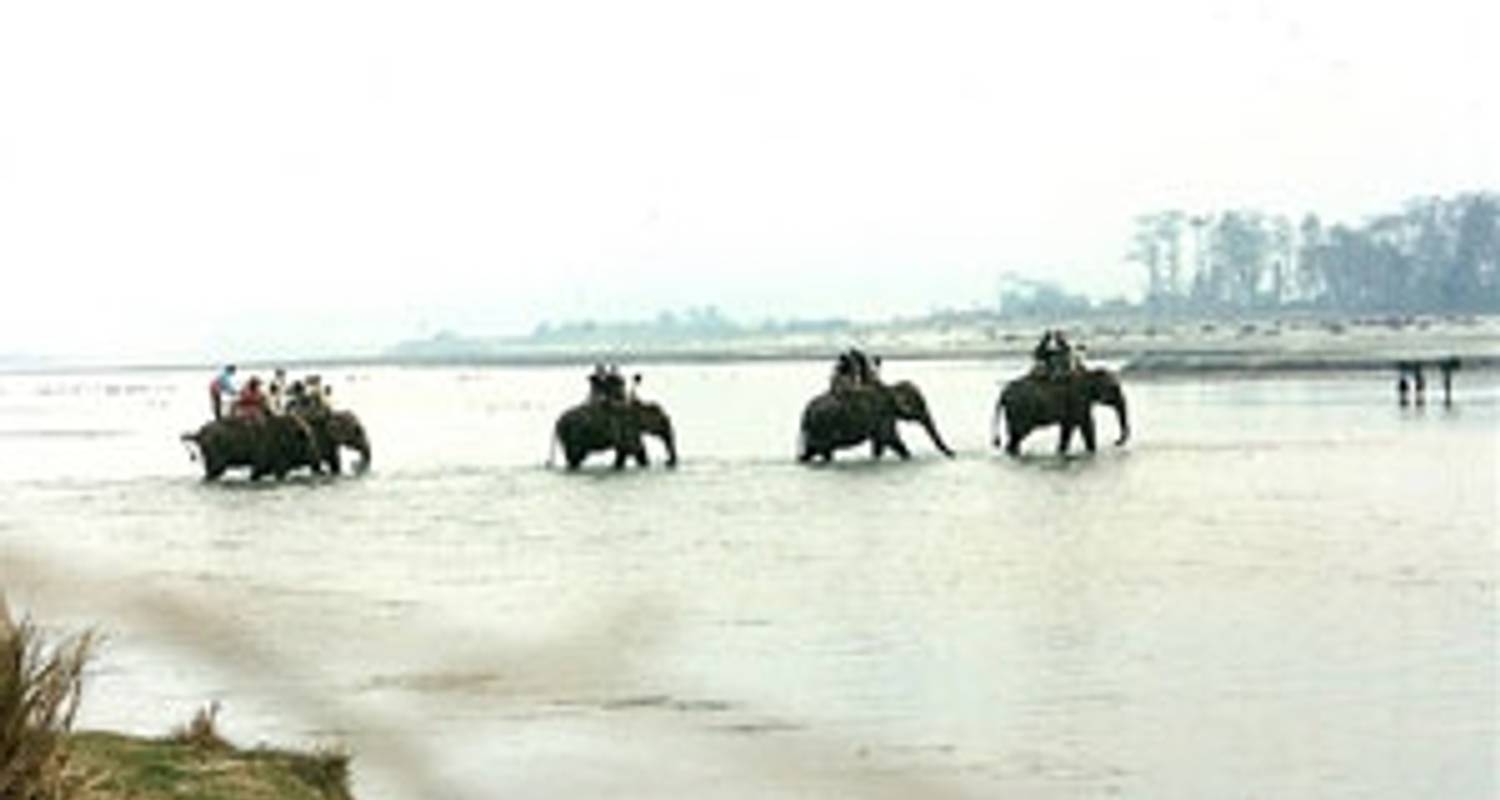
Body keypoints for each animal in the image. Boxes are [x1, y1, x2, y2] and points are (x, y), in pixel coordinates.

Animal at [181, 411, 325, 480]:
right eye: (309, 439)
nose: (321, 468)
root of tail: (199, 433)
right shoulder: (269, 458)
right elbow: (261, 471)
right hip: (215, 456)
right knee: (213, 472)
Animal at [552, 396, 681, 468]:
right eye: (664, 421)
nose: (668, 462)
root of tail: (556, 422)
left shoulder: (629, 428)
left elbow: (624, 449)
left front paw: (617, 466)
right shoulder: (628, 425)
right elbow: (633, 447)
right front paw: (646, 464)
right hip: (574, 433)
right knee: (576, 453)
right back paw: (574, 465)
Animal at [798, 378, 948, 462]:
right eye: (920, 405)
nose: (951, 454)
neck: (891, 387)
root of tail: (806, 412)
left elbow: (880, 443)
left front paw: (875, 458)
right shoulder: (885, 414)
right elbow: (890, 439)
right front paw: (909, 457)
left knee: (811, 451)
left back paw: (802, 460)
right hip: (822, 426)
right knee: (821, 450)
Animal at [996, 366, 1128, 456]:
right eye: (1115, 388)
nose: (1116, 442)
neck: (1089, 373)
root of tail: (1003, 392)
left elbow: (1067, 427)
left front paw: (1060, 452)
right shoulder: (1078, 398)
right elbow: (1086, 424)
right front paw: (1092, 452)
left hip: (1013, 411)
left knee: (1014, 434)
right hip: (1021, 409)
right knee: (1019, 434)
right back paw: (1012, 453)